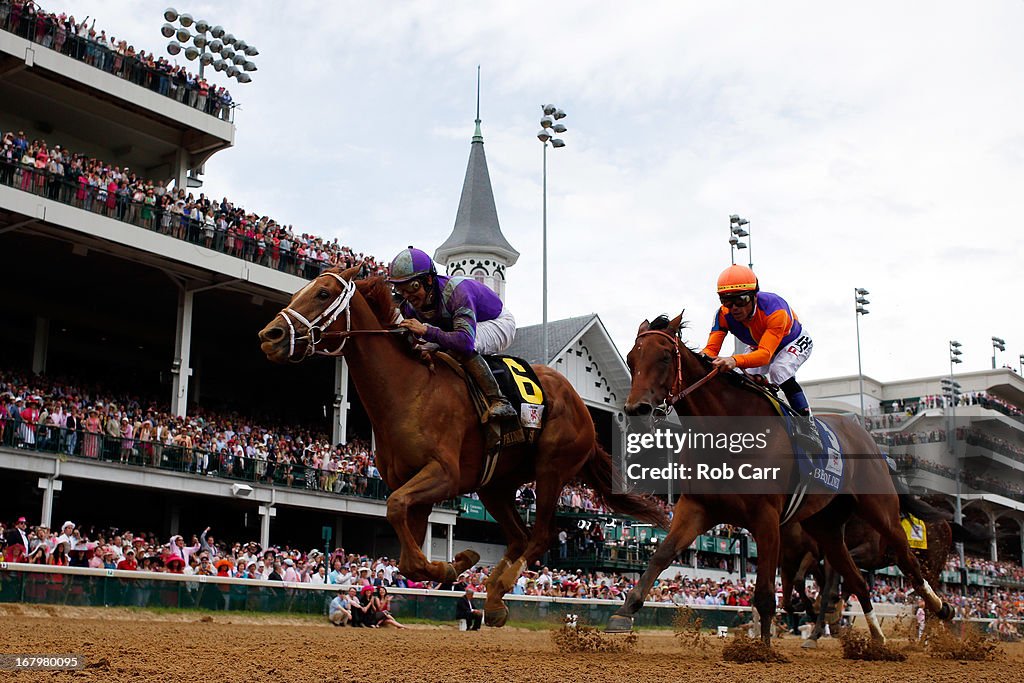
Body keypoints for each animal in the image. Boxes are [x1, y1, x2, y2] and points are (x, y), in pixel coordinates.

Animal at [260, 266, 667, 626]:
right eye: (298, 293)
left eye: (323, 293)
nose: (270, 334)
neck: (408, 391)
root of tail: (584, 409)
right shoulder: (412, 485)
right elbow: (406, 555)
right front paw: (455, 564)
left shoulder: (444, 475)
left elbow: (395, 508)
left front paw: (455, 563)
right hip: (495, 485)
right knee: (519, 537)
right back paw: (494, 599)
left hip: (552, 468)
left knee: (541, 535)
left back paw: (499, 588)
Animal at [606, 315, 950, 647]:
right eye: (631, 358)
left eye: (665, 357)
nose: (636, 410)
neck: (729, 433)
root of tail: (868, 438)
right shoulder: (697, 508)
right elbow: (662, 555)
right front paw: (624, 612)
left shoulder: (767, 519)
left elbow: (765, 594)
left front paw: (762, 649)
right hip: (826, 528)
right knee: (857, 580)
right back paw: (876, 639)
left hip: (880, 511)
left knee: (909, 561)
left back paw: (941, 609)